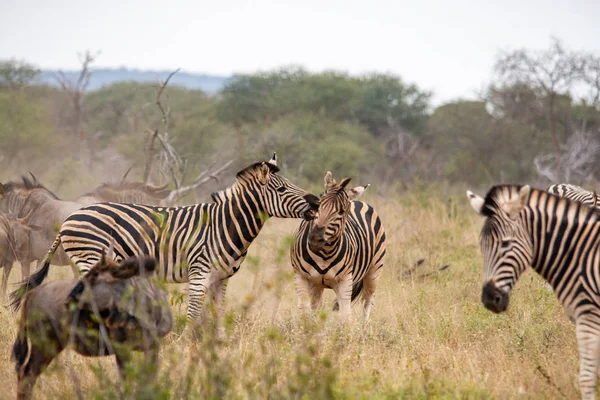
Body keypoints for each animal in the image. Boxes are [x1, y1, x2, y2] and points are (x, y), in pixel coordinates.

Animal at [12, 154, 318, 324]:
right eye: (282, 189)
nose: (315, 202)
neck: (225, 224)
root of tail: (69, 219)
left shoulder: (221, 279)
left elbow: (217, 316)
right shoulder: (199, 272)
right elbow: (193, 316)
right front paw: (189, 352)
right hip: (90, 260)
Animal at [292, 171, 386, 318]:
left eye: (341, 211)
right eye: (317, 205)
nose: (315, 238)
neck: (324, 254)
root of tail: (356, 201)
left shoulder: (345, 281)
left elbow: (345, 316)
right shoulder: (301, 277)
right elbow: (303, 311)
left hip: (374, 270)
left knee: (367, 303)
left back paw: (364, 324)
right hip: (317, 284)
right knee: (314, 306)